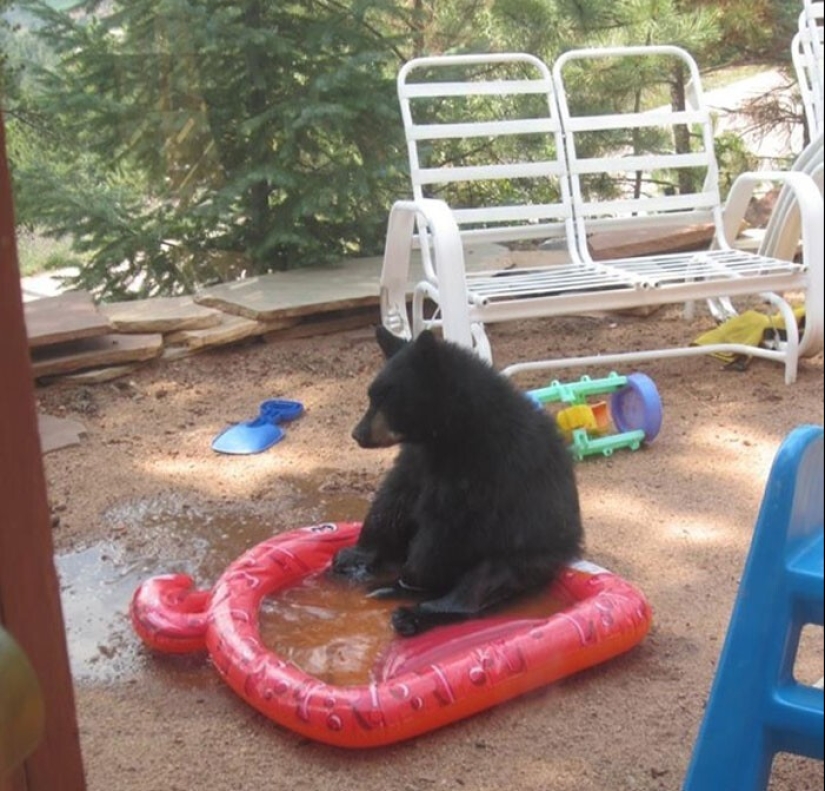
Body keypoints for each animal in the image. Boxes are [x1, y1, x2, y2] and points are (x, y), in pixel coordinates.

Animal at [331, 326, 584, 636]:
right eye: (371, 395)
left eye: (389, 396)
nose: (358, 433)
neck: (451, 432)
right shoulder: (418, 457)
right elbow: (395, 497)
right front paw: (354, 555)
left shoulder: (489, 466)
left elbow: (449, 525)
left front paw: (409, 580)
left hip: (525, 554)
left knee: (480, 583)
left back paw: (410, 610)